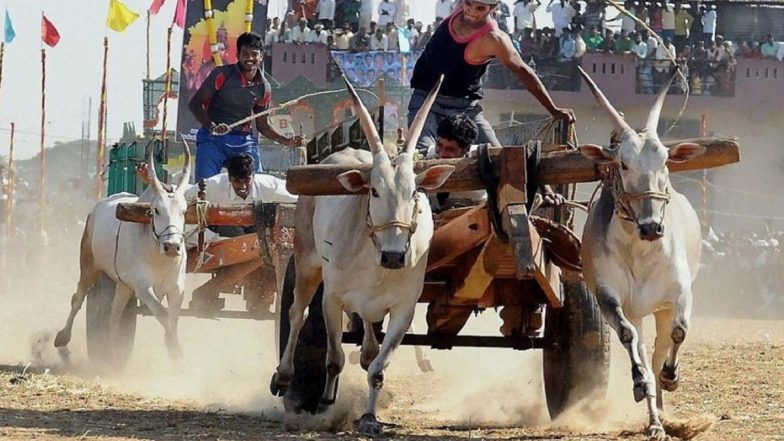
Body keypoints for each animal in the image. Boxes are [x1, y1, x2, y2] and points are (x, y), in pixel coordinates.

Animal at [53, 143, 191, 362]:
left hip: (123, 284)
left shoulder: (177, 288)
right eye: (156, 210)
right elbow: (163, 314)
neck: (159, 257)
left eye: (184, 211)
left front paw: (173, 348)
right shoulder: (143, 287)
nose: (172, 246)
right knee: (78, 299)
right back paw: (63, 339)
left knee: (114, 316)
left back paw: (111, 352)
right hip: (89, 266)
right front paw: (176, 349)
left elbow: (172, 319)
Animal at [272, 77, 454, 434]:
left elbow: (378, 369)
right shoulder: (331, 299)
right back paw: (284, 376)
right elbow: (333, 358)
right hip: (306, 261)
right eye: (374, 191)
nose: (394, 256)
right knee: (297, 313)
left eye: (415, 191)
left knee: (368, 334)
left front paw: (370, 418)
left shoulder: (404, 308)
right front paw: (325, 402)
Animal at [576, 66, 712, 440]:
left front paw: (671, 376)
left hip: (658, 309)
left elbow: (679, 332)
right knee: (638, 344)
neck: (640, 251)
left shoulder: (679, 293)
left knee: (658, 349)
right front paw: (640, 384)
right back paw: (653, 414)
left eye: (665, 160)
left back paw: (662, 409)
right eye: (622, 163)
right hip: (636, 310)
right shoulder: (607, 296)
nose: (652, 227)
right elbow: (626, 336)